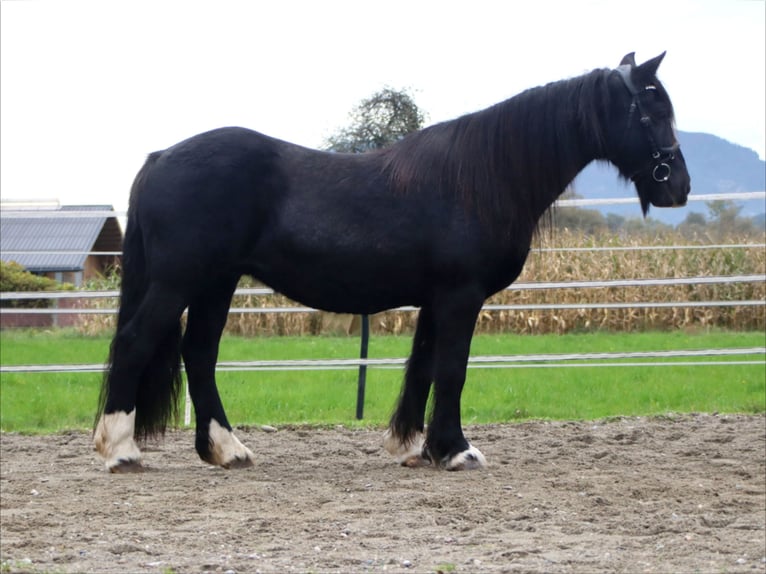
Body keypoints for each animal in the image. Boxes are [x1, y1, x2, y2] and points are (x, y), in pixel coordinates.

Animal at [94, 53, 688, 472]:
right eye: (654, 110)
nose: (678, 187)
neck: (482, 178)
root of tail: (161, 158)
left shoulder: (437, 299)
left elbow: (423, 367)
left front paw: (414, 447)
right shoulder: (460, 296)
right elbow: (452, 369)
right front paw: (456, 450)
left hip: (215, 284)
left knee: (199, 354)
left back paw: (227, 449)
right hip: (180, 281)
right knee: (137, 342)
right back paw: (120, 450)